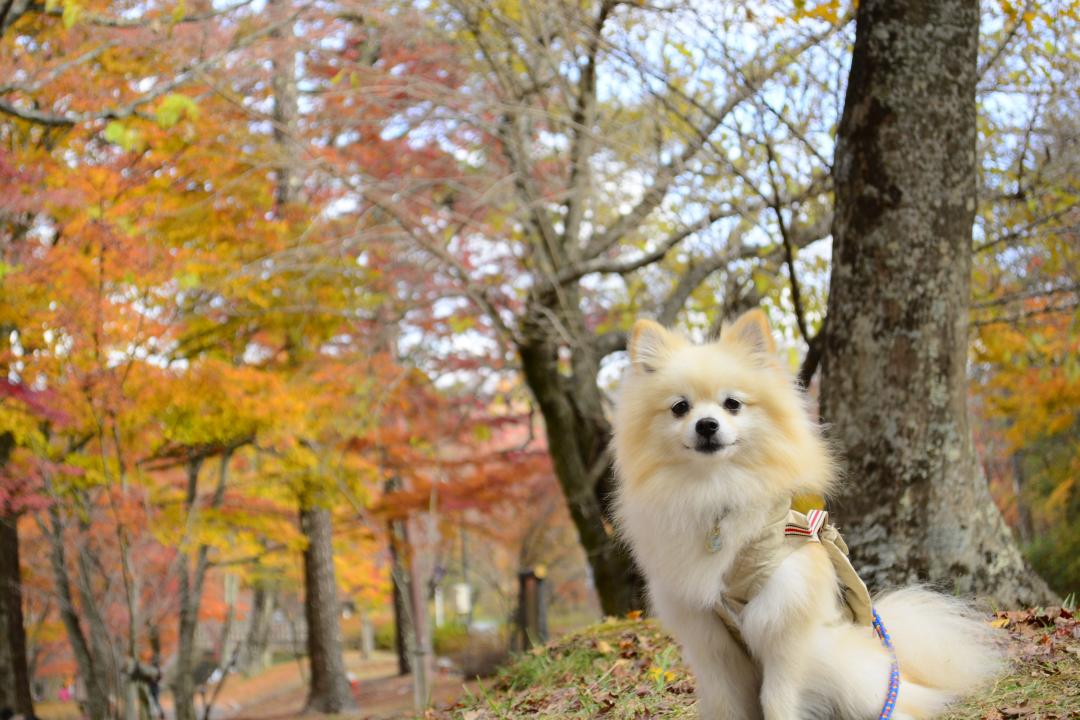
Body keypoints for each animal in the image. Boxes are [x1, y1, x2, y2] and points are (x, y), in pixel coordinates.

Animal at [613, 310, 997, 720]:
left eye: (732, 404)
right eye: (680, 407)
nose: (707, 425)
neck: (717, 491)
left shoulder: (786, 621)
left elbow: (778, 696)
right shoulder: (709, 635)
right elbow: (727, 700)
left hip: (847, 666)